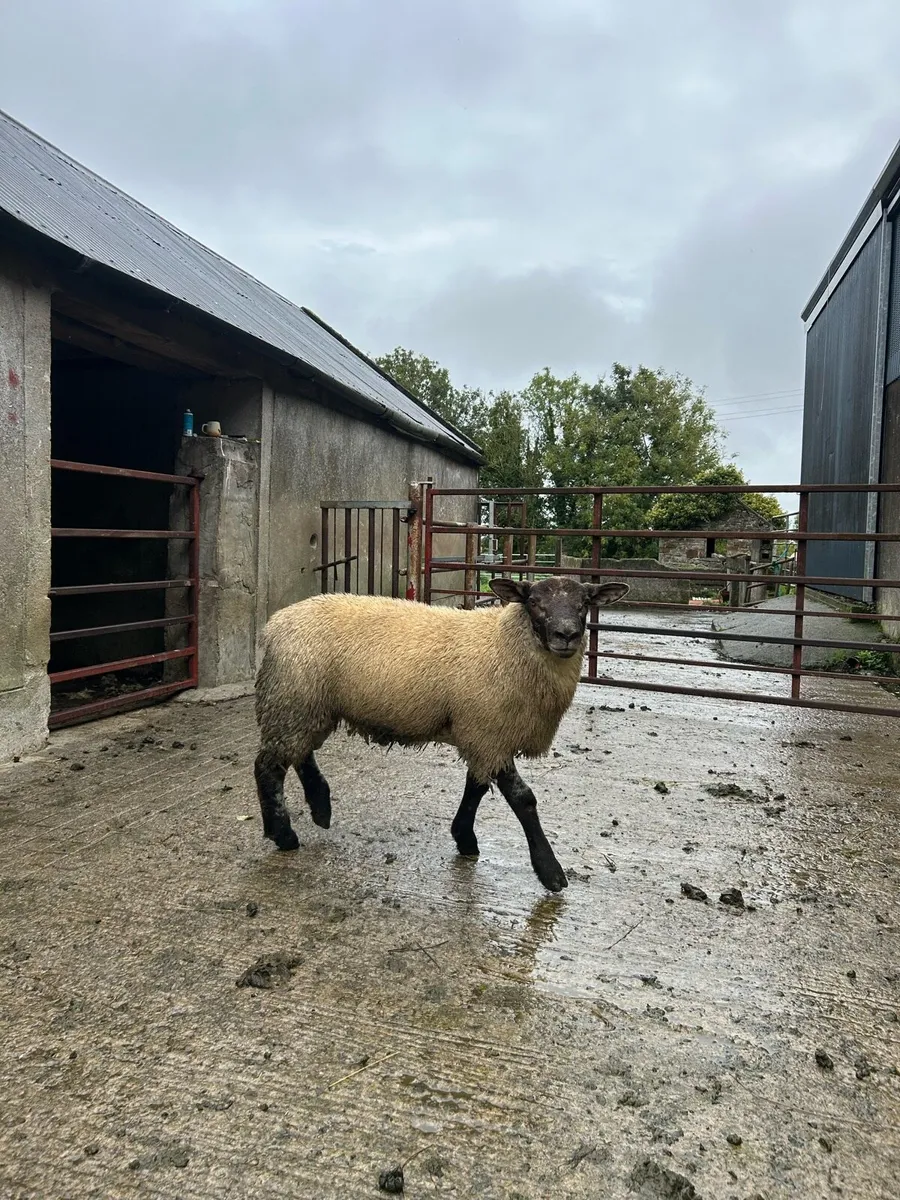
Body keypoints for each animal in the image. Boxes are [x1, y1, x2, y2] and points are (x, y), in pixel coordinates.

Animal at [253, 575, 629, 892]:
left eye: (584, 603)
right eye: (534, 601)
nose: (566, 635)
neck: (505, 645)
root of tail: (275, 624)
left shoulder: (481, 734)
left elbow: (476, 787)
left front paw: (464, 838)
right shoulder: (489, 733)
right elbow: (523, 799)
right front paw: (550, 871)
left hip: (308, 706)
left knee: (300, 753)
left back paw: (320, 807)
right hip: (292, 698)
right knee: (268, 766)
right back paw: (283, 834)